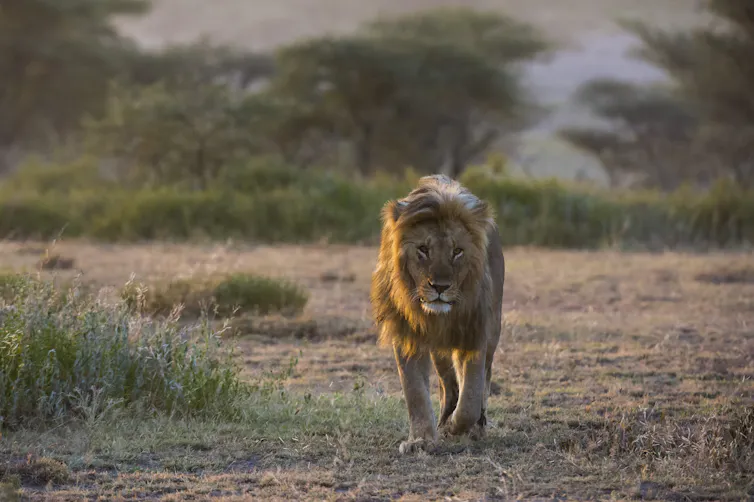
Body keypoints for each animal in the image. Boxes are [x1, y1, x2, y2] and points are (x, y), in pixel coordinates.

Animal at [370, 174, 505, 454]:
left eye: (457, 251)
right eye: (423, 249)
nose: (440, 287)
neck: (439, 316)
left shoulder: (475, 331)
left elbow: (471, 398)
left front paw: (459, 426)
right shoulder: (407, 335)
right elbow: (415, 392)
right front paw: (421, 440)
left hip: (493, 330)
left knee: (482, 379)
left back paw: (473, 425)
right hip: (439, 351)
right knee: (447, 383)